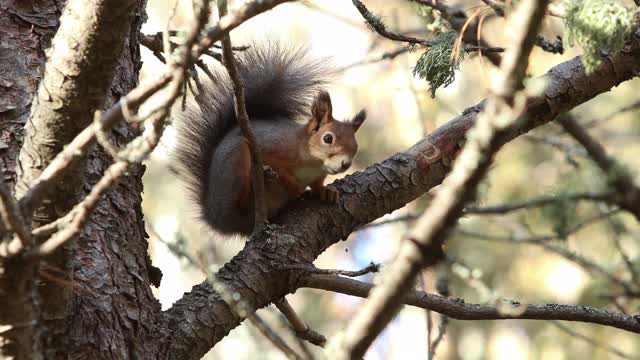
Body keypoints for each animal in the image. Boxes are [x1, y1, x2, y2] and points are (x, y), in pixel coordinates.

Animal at [174, 42, 364, 235]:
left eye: (355, 147)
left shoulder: (318, 174)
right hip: (235, 164)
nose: (345, 164)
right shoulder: (274, 149)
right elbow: (279, 170)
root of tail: (215, 217)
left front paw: (326, 191)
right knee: (241, 203)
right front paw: (296, 187)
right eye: (327, 138)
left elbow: (318, 184)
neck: (312, 163)